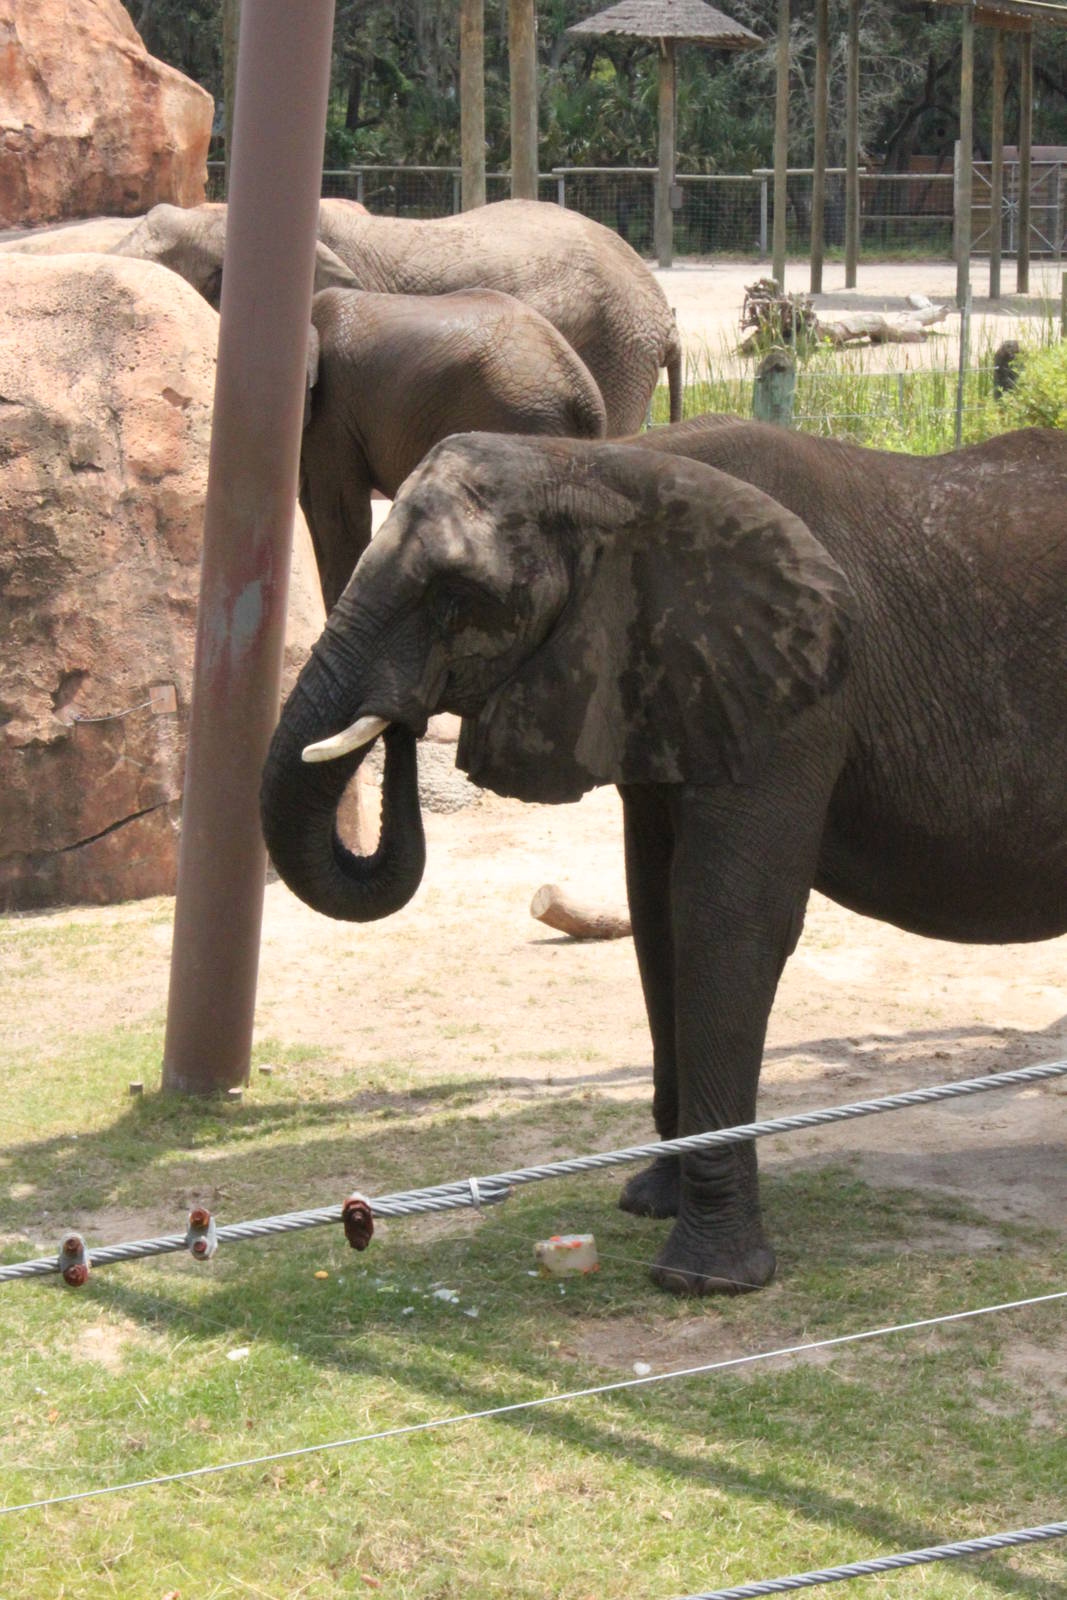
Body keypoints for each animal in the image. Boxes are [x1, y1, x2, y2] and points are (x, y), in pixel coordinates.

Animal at [259, 420, 1067, 1296]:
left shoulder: (789, 693)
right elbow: (655, 916)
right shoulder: (659, 684)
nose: (403, 721)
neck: (597, 466)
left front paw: (706, 1279)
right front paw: (647, 1202)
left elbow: (727, 918)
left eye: (455, 594)